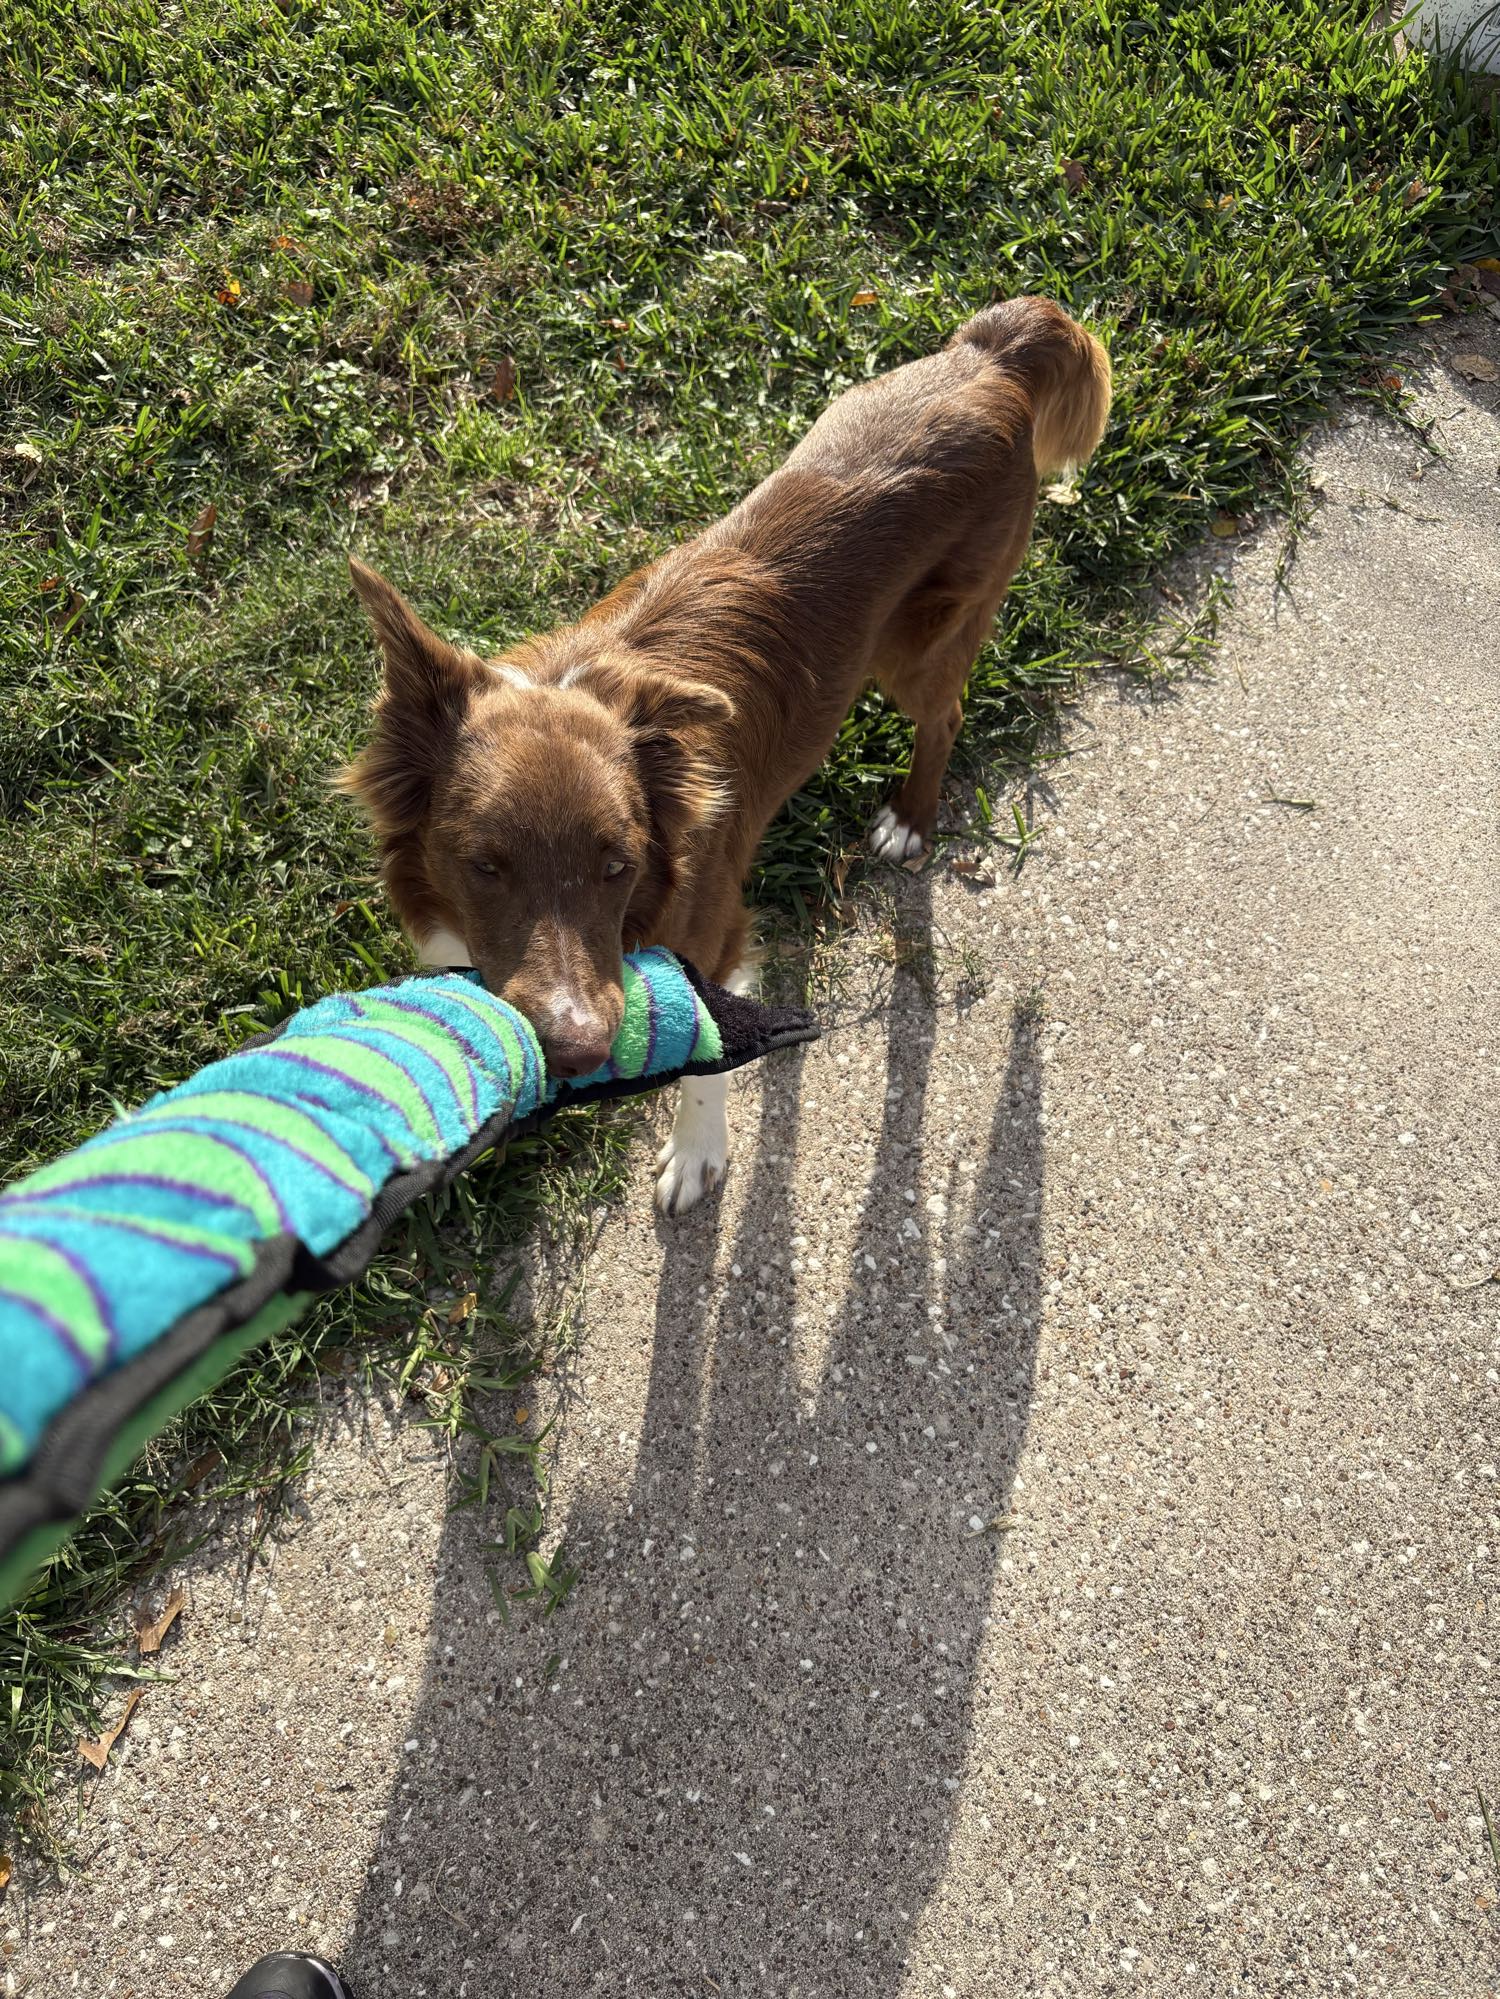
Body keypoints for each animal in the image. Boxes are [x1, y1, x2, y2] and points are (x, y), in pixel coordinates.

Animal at [340, 296, 1111, 1214]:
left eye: (618, 865)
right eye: (483, 866)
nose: (582, 1051)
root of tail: (995, 351)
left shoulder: (713, 933)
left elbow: (707, 1057)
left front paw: (696, 1151)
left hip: (921, 644)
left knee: (947, 712)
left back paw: (910, 819)